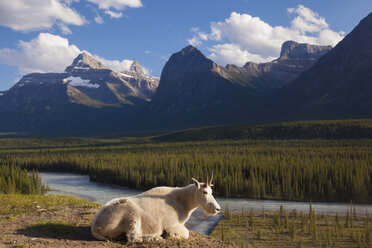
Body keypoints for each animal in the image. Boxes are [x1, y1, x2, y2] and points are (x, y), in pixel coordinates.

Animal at [91, 173, 219, 241]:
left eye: (212, 191)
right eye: (205, 192)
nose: (217, 209)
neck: (182, 202)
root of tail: (95, 226)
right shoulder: (171, 224)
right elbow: (186, 233)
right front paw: (171, 235)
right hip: (132, 215)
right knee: (134, 237)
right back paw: (156, 237)